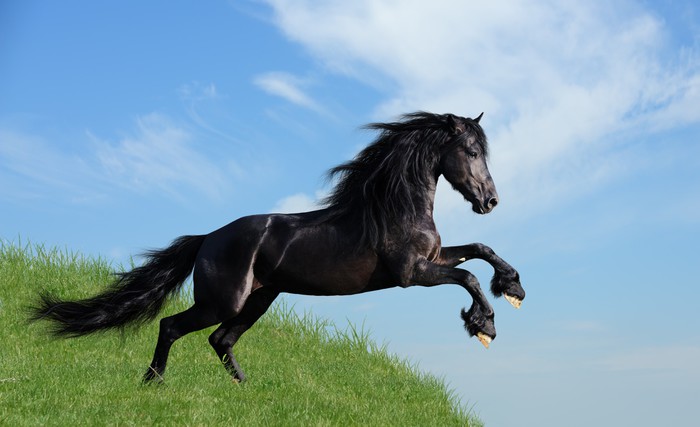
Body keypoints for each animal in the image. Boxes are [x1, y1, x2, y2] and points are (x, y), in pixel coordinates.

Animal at [30, 111, 525, 383]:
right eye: (471, 152)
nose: (490, 201)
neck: (394, 208)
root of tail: (207, 239)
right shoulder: (412, 274)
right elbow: (467, 275)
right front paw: (484, 324)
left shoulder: (431, 259)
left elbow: (479, 248)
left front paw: (513, 288)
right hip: (223, 301)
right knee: (173, 326)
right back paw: (152, 384)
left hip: (259, 299)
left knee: (220, 339)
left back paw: (245, 390)